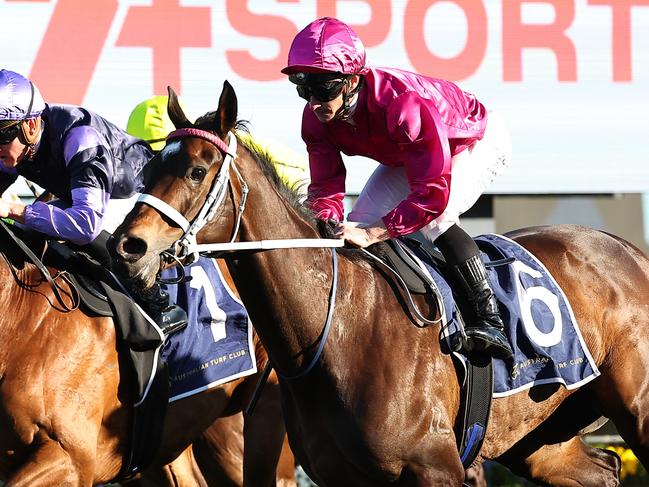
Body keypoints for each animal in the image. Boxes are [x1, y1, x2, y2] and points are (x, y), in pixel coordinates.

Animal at [111, 82, 648, 486]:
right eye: (149, 168)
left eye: (196, 170)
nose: (127, 246)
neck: (337, 331)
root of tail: (629, 249)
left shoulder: (437, 471)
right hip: (539, 439)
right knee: (603, 469)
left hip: (636, 410)